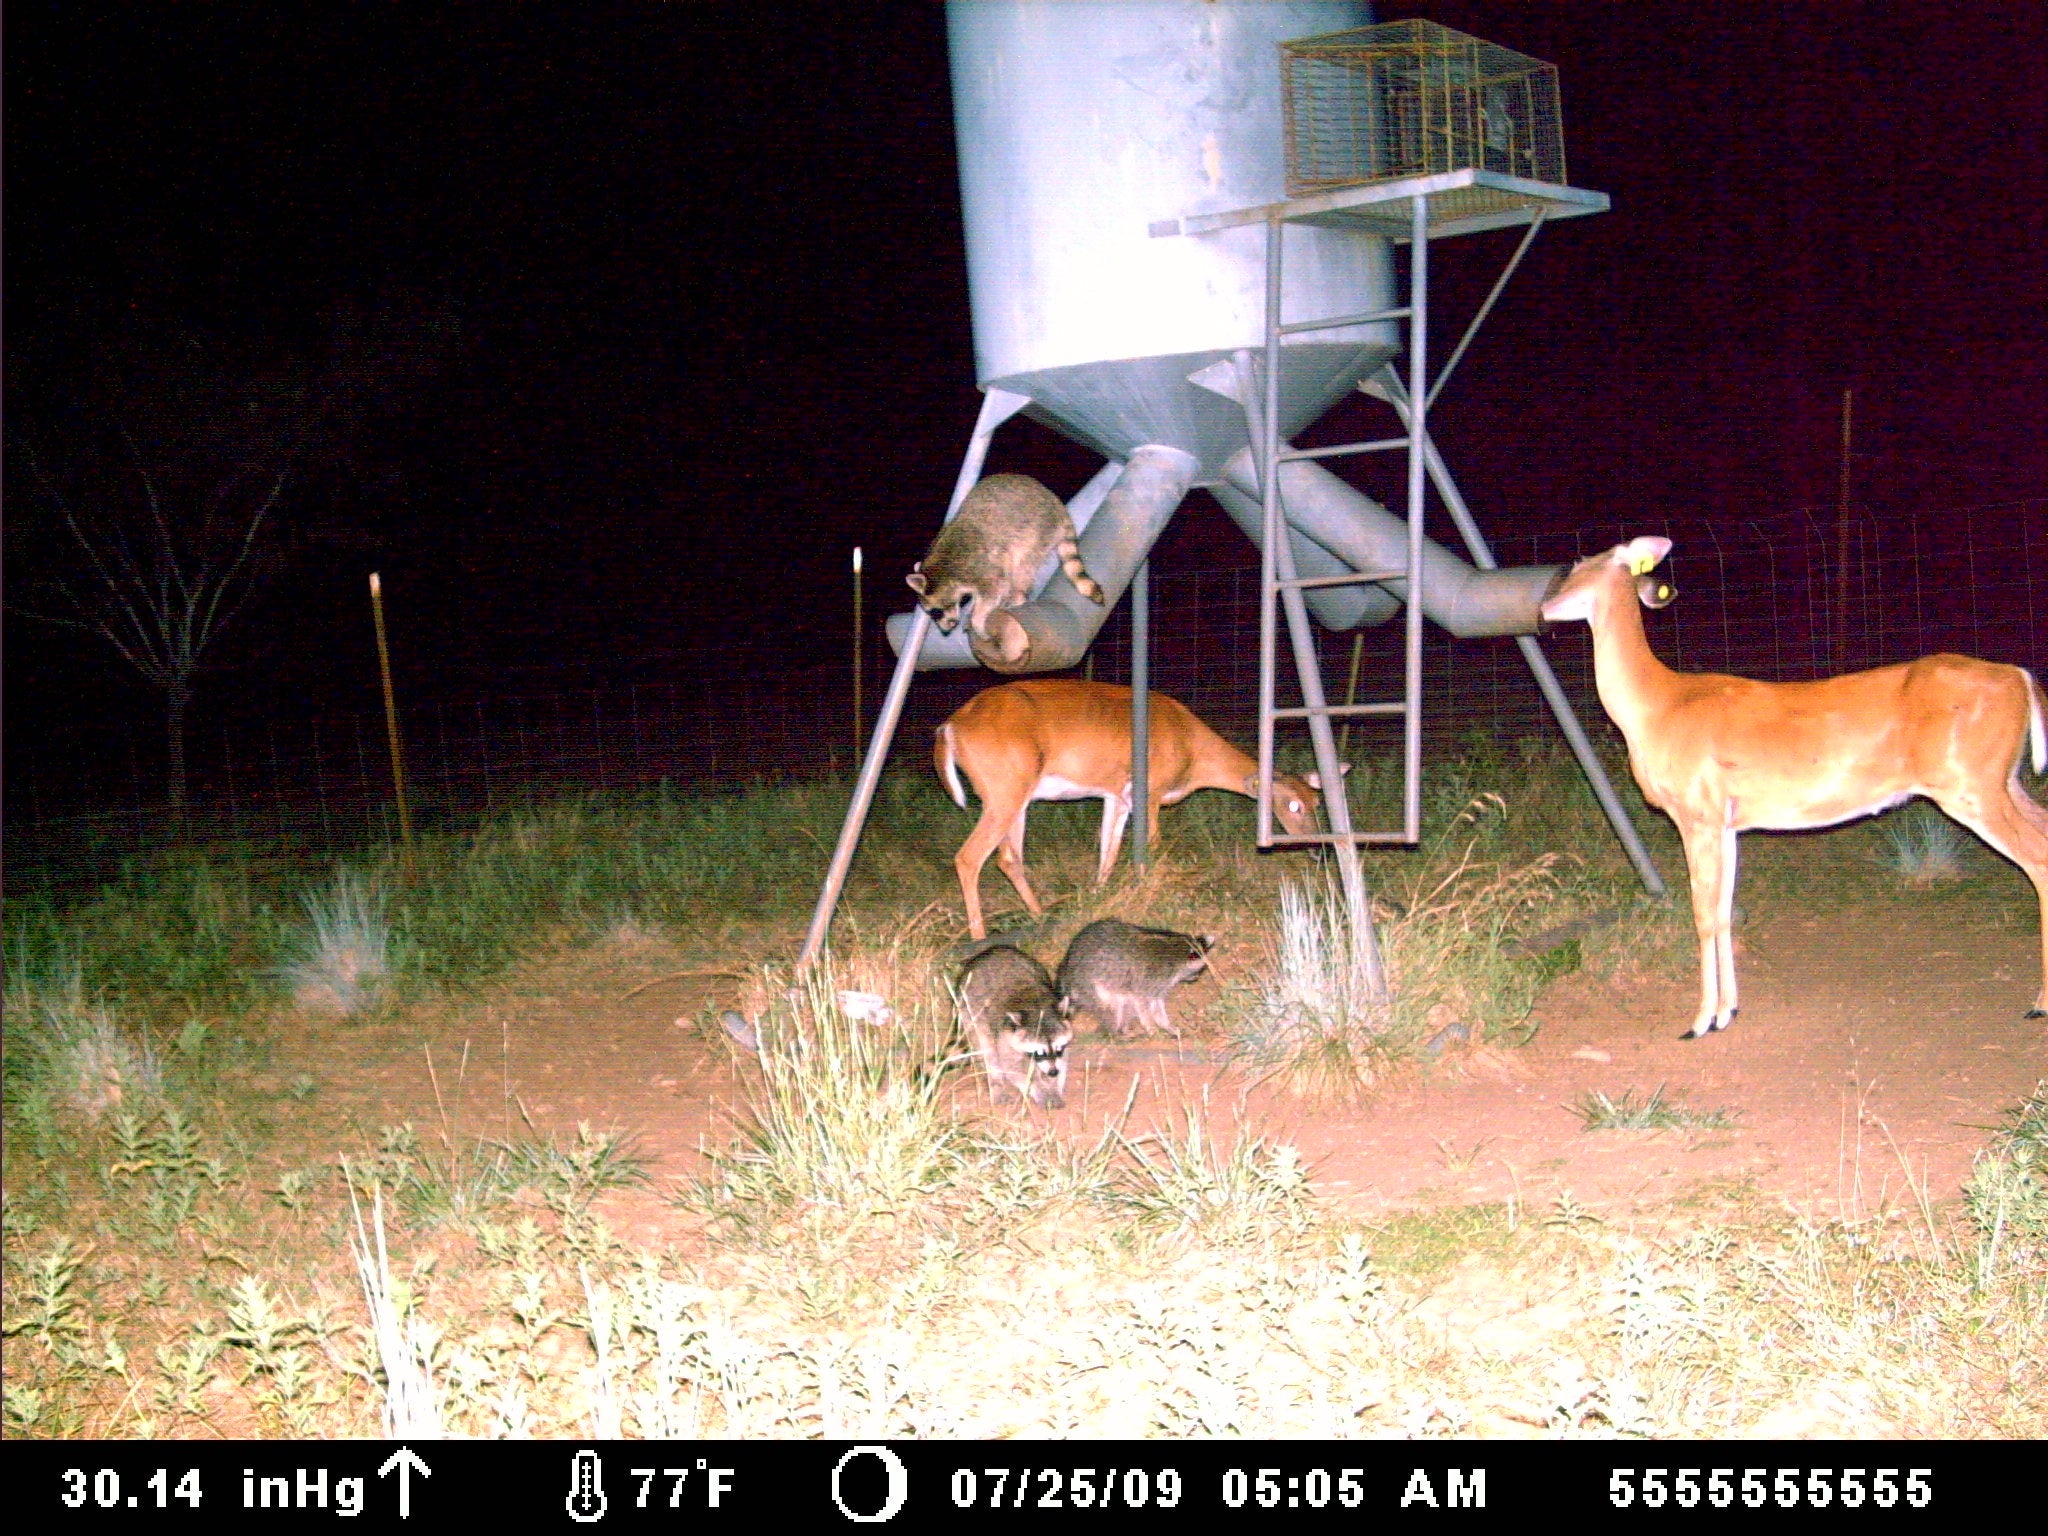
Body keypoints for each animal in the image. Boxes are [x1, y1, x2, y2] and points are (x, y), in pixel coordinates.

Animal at [929, 684, 1327, 946]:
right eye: (1293, 806)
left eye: (1317, 803)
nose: (1317, 849)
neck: (1192, 750)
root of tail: (948, 729)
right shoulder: (1150, 791)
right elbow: (1151, 846)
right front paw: (1152, 899)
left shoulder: (1116, 795)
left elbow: (1109, 851)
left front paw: (1098, 901)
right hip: (1004, 788)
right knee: (969, 857)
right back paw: (980, 938)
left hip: (1016, 796)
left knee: (1008, 858)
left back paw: (1041, 916)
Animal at [950, 946, 1073, 1114]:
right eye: (1039, 1052)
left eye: (1058, 1048)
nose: (1053, 1072)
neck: (1037, 1005)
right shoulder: (1005, 1036)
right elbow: (1011, 1066)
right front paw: (1039, 1088)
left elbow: (1063, 1061)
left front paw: (1054, 1086)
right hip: (968, 1011)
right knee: (986, 1047)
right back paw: (995, 1082)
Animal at [1056, 921, 1212, 1040]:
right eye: (1201, 970)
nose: (1196, 978)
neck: (1178, 950)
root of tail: (1067, 967)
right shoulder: (1152, 976)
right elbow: (1142, 1002)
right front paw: (1151, 1028)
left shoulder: (1160, 984)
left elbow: (1157, 1004)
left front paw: (1167, 1026)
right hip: (1090, 985)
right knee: (1114, 1007)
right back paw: (1115, 1034)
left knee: (1126, 1005)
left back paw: (1124, 1028)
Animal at [1540, 536, 2048, 1040]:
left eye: (1580, 563)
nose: (1544, 608)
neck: (1655, 707)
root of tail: (2020, 678)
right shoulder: (1727, 822)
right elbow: (1723, 910)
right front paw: (1727, 1012)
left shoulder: (1696, 812)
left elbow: (1702, 914)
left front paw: (1699, 1021)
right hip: (2002, 779)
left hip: (1969, 784)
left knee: (2037, 858)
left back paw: (2038, 1004)